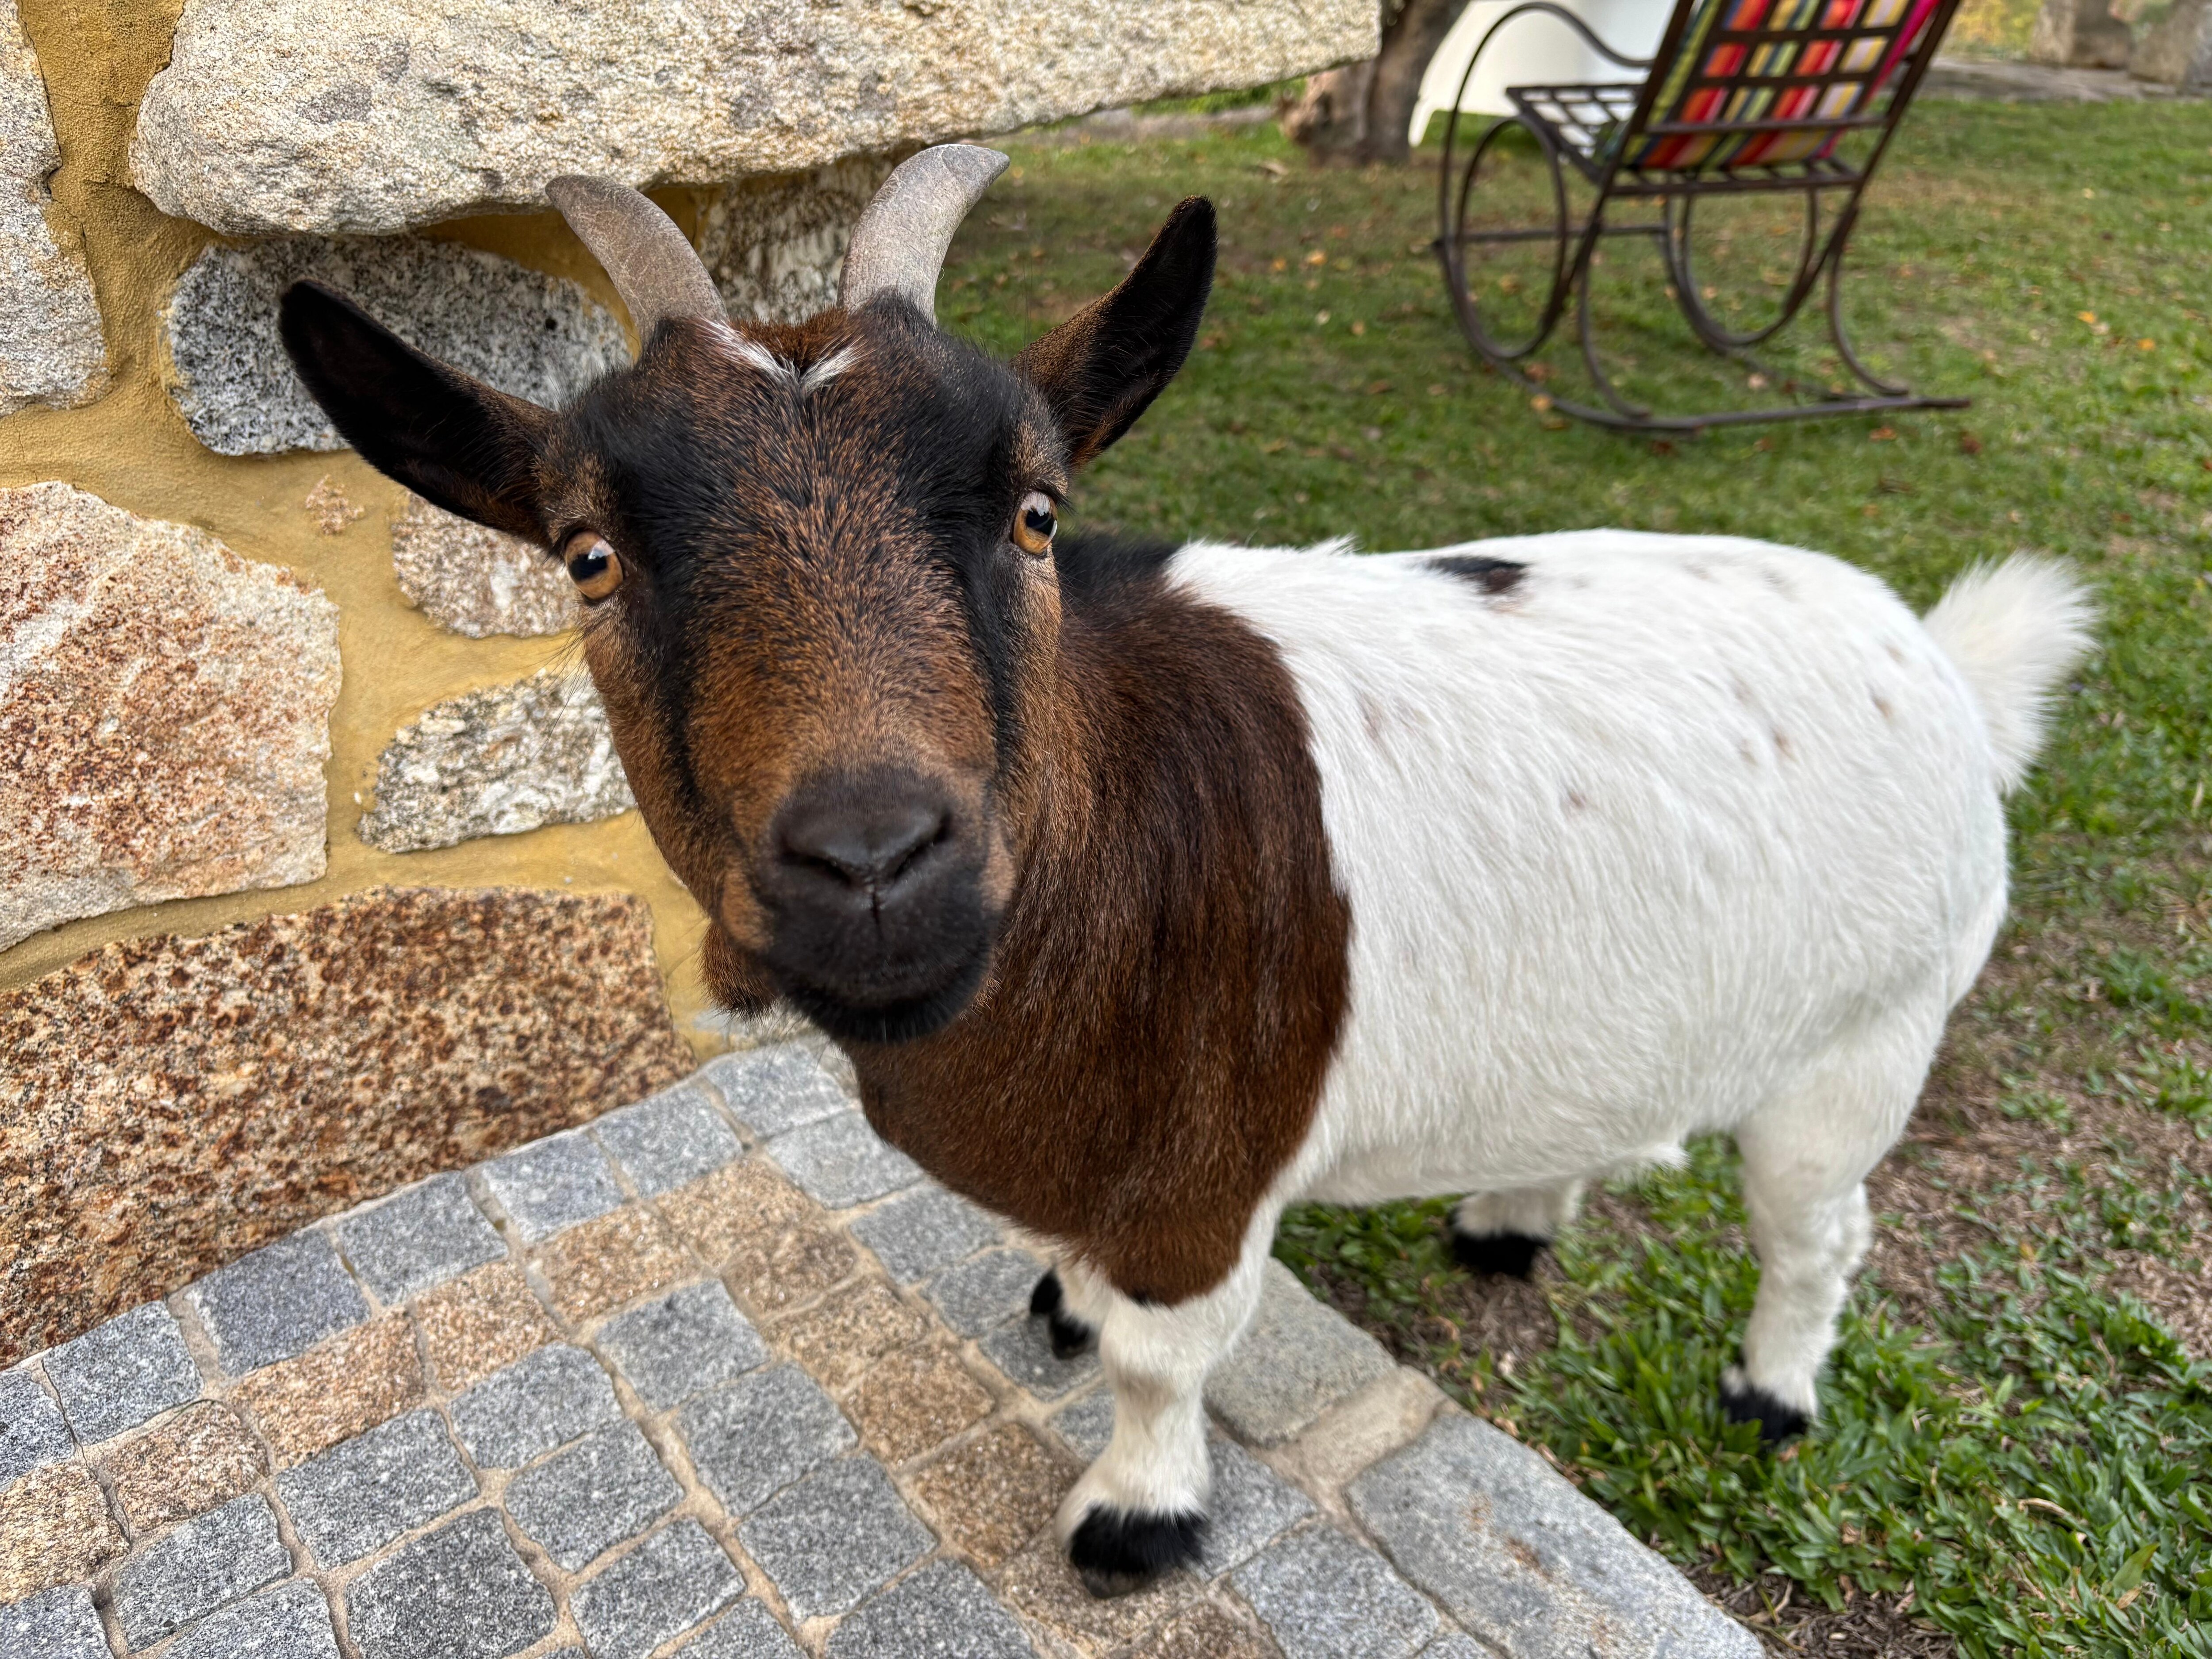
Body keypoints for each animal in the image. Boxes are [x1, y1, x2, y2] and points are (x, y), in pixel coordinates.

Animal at [280, 146, 2096, 1597]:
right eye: (584, 554)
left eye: (1035, 508)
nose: (875, 856)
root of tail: (1944, 660)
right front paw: (1065, 1315)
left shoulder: (1208, 1166)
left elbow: (1163, 1359)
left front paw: (1134, 1515)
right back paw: (1508, 1221)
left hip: (1863, 1034)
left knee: (1815, 1229)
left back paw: (1769, 1392)